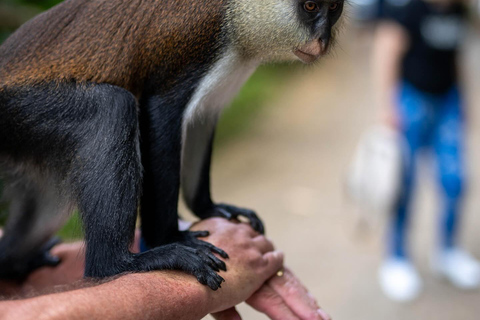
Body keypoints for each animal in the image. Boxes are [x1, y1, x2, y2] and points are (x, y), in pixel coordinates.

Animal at [0, 0, 344, 290]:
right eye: (310, 6)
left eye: (333, 8)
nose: (322, 40)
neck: (237, 15)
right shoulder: (197, 42)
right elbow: (160, 113)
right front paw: (171, 238)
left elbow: (203, 119)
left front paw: (209, 207)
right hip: (18, 111)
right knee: (110, 110)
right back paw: (119, 263)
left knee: (45, 213)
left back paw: (14, 262)